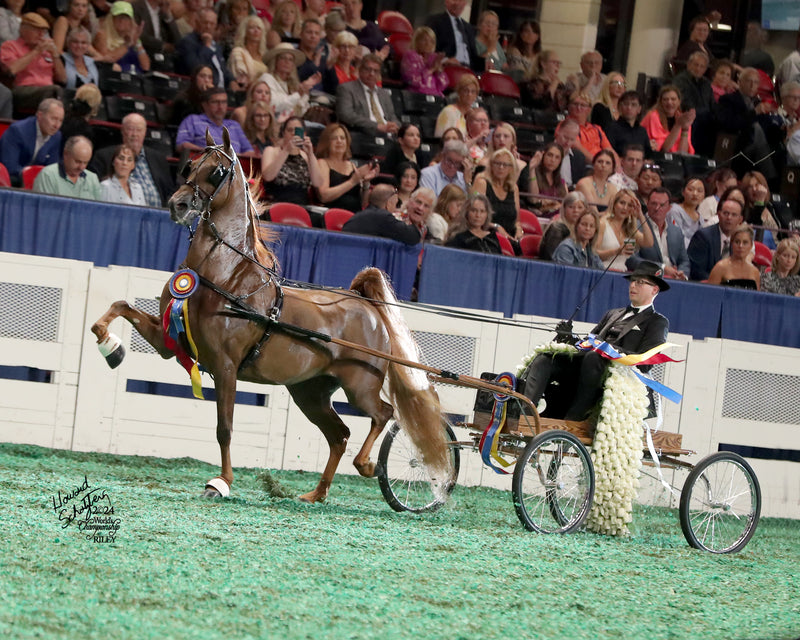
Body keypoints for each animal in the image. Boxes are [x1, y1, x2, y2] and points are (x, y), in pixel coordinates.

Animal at [89, 129, 450, 500]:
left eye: (217, 171)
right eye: (189, 165)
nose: (177, 205)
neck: (226, 279)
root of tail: (363, 302)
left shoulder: (226, 366)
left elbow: (225, 428)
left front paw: (221, 482)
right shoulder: (170, 343)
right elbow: (119, 306)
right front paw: (111, 347)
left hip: (359, 386)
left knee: (383, 414)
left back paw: (366, 466)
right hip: (310, 392)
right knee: (340, 434)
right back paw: (317, 493)